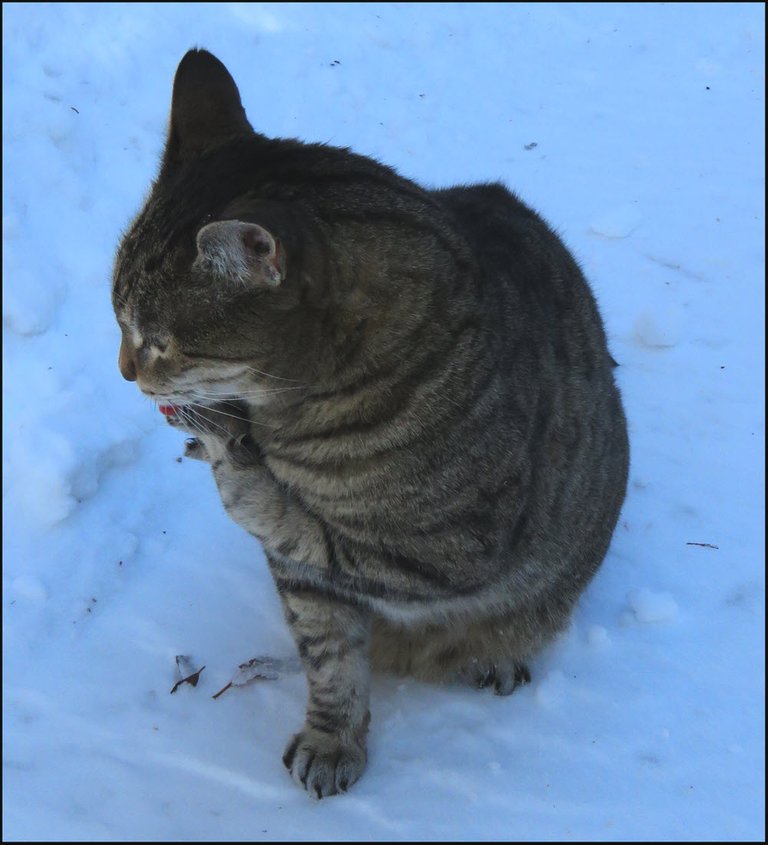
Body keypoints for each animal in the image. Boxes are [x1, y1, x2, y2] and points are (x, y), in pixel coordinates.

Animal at [112, 49, 632, 796]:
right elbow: (330, 657)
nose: (126, 369)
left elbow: (303, 528)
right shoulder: (309, 587)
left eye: (156, 340)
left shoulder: (449, 554)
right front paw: (333, 739)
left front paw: (234, 467)